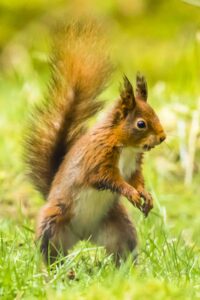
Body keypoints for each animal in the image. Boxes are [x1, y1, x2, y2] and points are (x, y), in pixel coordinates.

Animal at [24, 22, 166, 264]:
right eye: (141, 124)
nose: (163, 137)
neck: (127, 148)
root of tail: (83, 235)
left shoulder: (133, 166)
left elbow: (136, 179)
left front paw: (145, 195)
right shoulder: (97, 159)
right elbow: (109, 179)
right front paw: (131, 193)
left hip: (119, 226)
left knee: (122, 251)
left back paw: (128, 269)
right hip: (53, 223)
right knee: (51, 254)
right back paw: (58, 270)